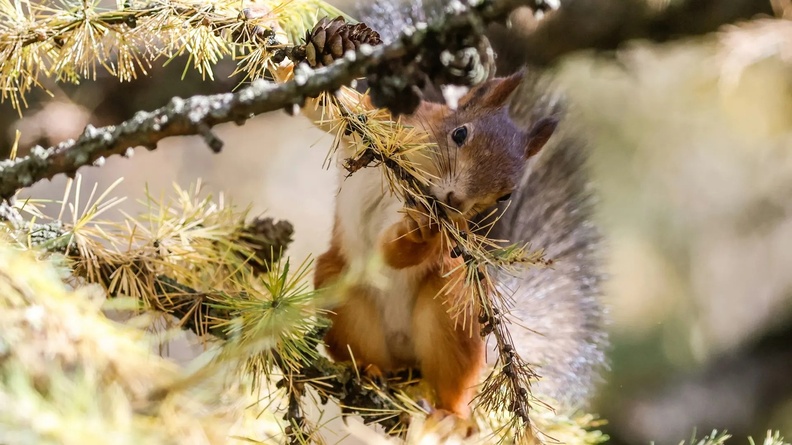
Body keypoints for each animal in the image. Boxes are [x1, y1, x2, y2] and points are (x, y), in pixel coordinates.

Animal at [305, 0, 606, 423]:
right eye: (459, 133)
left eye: (505, 195)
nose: (453, 201)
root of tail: (406, 362)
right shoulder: (380, 126)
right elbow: (331, 116)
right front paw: (321, 59)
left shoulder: (451, 230)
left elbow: (397, 253)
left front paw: (419, 232)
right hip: (339, 288)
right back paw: (368, 370)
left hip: (454, 306)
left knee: (454, 387)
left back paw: (448, 416)